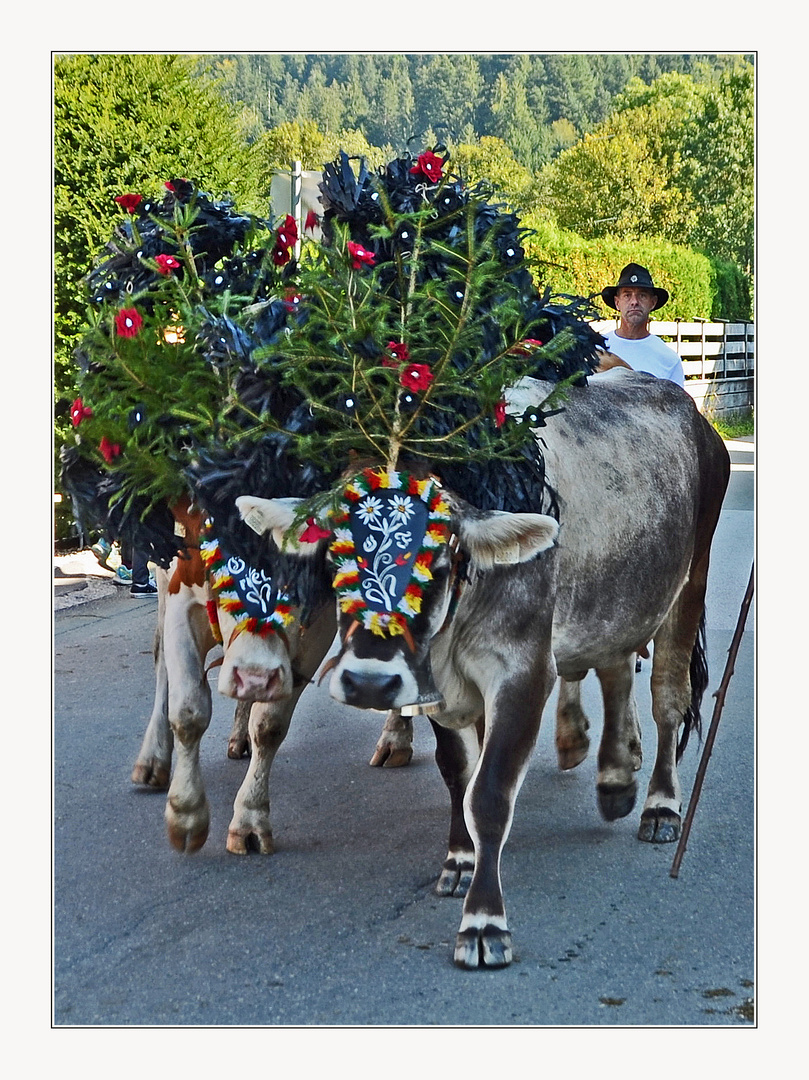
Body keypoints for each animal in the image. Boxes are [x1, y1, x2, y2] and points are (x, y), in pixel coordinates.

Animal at [235, 371, 730, 972]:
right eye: (335, 553)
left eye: (441, 556)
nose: (370, 682)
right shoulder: (434, 687)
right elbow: (458, 773)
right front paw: (459, 859)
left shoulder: (524, 674)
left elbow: (490, 792)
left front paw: (484, 923)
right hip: (616, 599)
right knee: (614, 670)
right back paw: (614, 781)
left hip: (690, 583)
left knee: (668, 700)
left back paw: (660, 806)